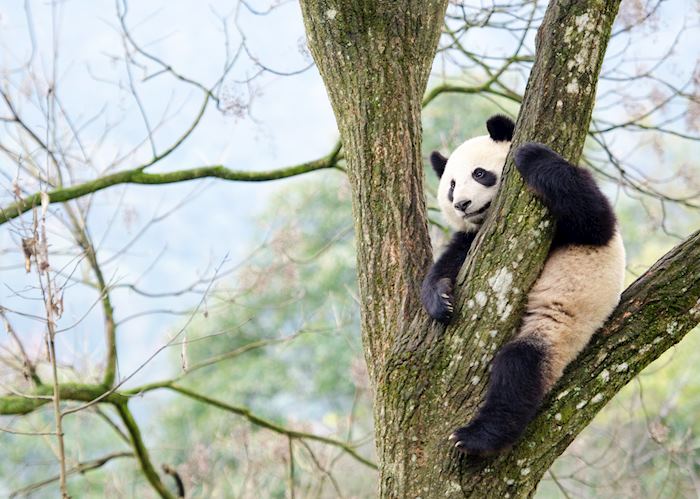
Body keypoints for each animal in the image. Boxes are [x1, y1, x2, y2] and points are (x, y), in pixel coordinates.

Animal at [424, 115, 628, 456]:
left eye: (480, 174)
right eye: (451, 186)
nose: (463, 204)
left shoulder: (580, 224)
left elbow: (594, 220)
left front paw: (531, 155)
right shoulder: (472, 238)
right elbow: (452, 260)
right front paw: (440, 298)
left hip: (561, 328)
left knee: (520, 367)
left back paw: (477, 436)